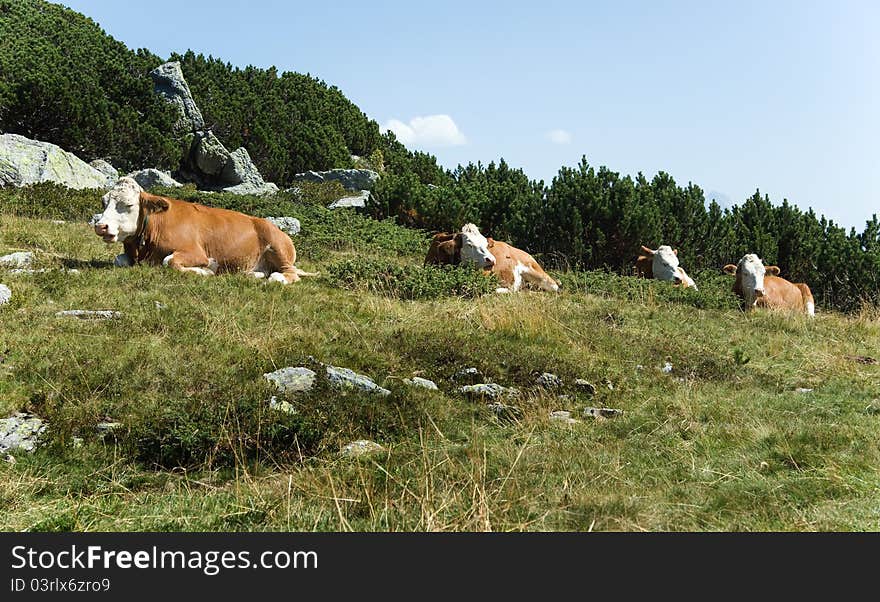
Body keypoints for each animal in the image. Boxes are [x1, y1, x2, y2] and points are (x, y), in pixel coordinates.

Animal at [93, 176, 318, 284]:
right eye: (104, 202)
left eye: (129, 204)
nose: (101, 226)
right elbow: (119, 260)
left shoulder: (195, 252)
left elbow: (169, 261)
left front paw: (206, 271)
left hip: (277, 246)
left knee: (290, 273)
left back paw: (278, 278)